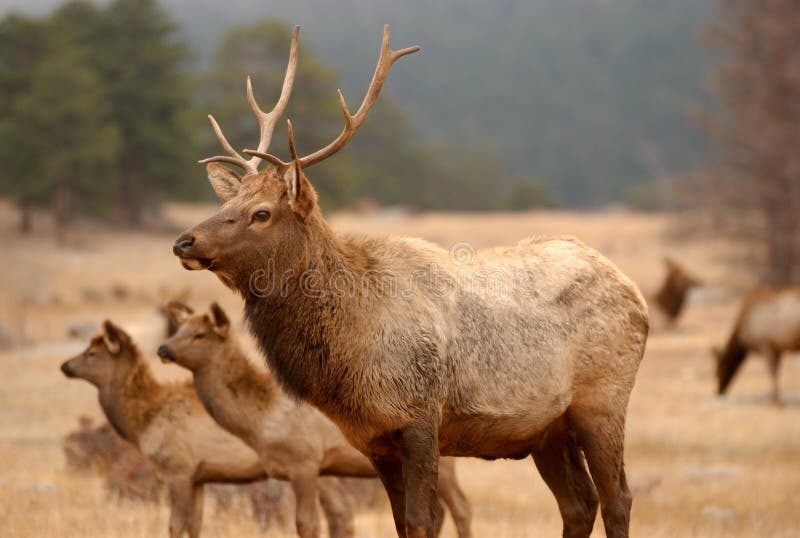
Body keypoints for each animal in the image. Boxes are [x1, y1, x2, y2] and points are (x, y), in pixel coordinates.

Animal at [59, 320, 354, 532]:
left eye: (91, 353)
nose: (65, 365)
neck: (141, 422)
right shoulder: (200, 475)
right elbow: (195, 525)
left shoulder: (179, 469)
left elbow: (175, 525)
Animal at [159, 300, 472, 536]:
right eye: (179, 328)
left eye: (200, 334)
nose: (163, 348)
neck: (261, 422)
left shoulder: (305, 460)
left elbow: (307, 524)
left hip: (442, 459)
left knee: (460, 507)